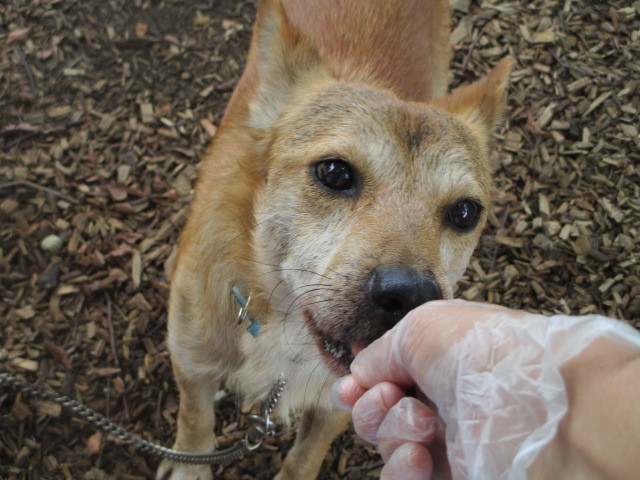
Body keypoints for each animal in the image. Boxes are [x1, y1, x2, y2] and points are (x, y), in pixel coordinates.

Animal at [158, 1, 512, 478]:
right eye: (334, 173)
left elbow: (304, 460)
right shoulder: (191, 363)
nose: (412, 298)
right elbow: (195, 422)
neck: (284, 332)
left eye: (464, 213)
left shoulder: (337, 404)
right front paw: (190, 466)